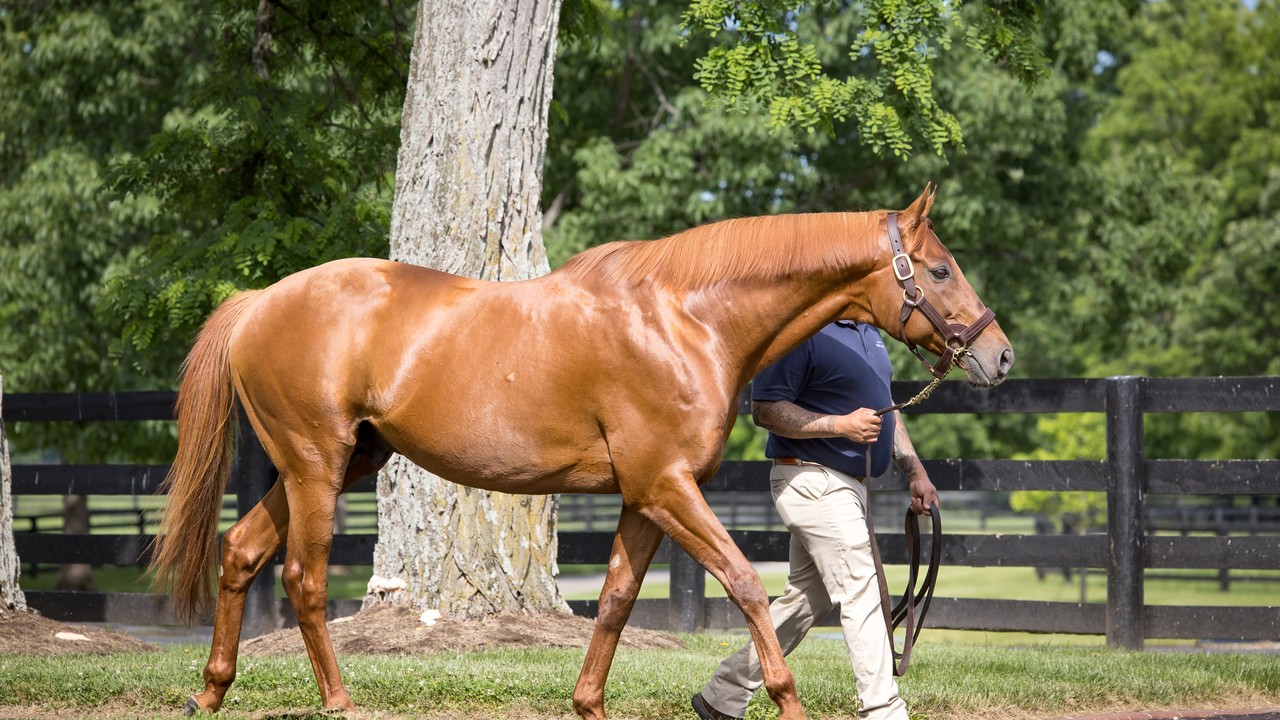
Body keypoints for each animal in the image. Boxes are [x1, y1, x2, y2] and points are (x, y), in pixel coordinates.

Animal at [147, 183, 1008, 712]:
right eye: (939, 269)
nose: (997, 356)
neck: (686, 318)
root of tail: (261, 302)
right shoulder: (668, 487)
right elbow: (745, 585)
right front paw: (785, 699)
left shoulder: (645, 498)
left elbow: (618, 602)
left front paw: (588, 702)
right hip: (316, 467)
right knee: (303, 578)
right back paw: (338, 701)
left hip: (331, 464)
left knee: (240, 552)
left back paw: (210, 691)